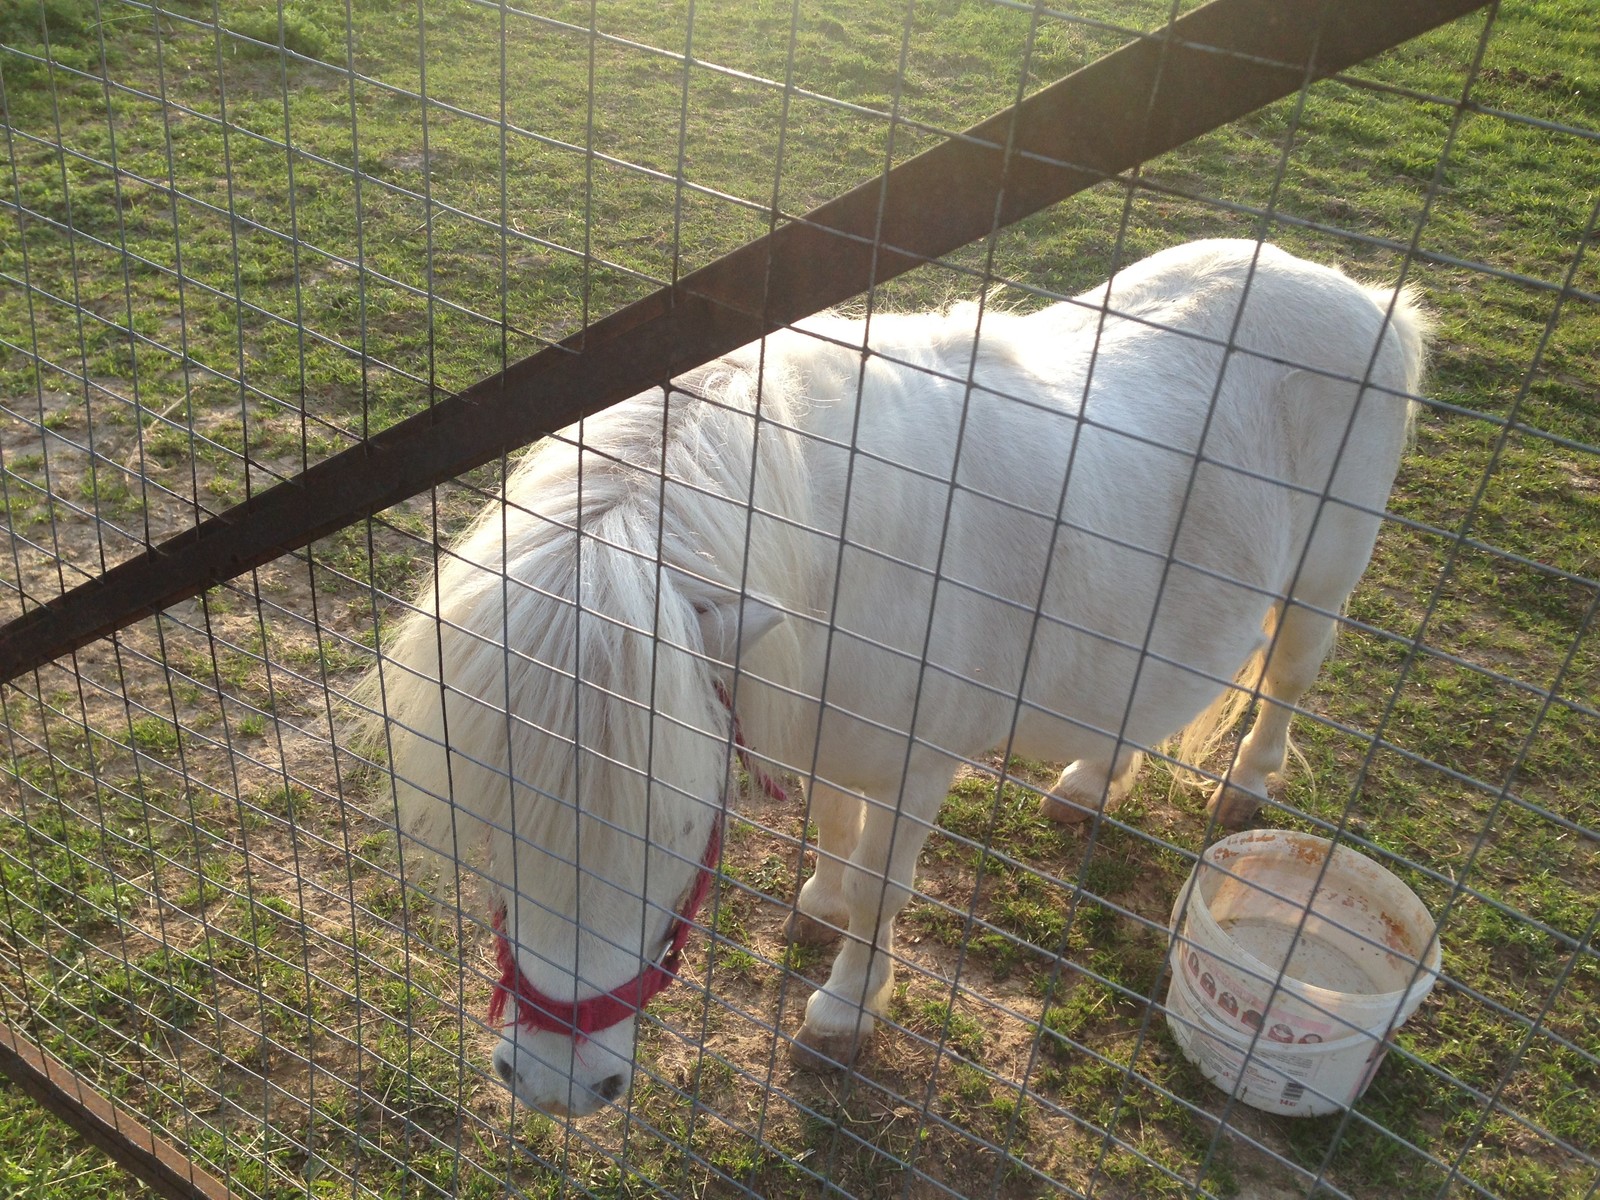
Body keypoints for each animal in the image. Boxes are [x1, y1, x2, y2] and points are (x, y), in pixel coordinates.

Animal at [353, 241, 1427, 1120]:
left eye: (685, 828)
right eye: (489, 814)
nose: (554, 1085)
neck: (846, 554)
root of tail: (1365, 295)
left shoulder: (920, 767)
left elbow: (883, 884)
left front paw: (843, 1009)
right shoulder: (824, 723)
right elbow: (835, 827)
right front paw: (820, 899)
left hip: (1323, 584)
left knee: (1290, 674)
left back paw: (1247, 782)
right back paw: (1088, 786)